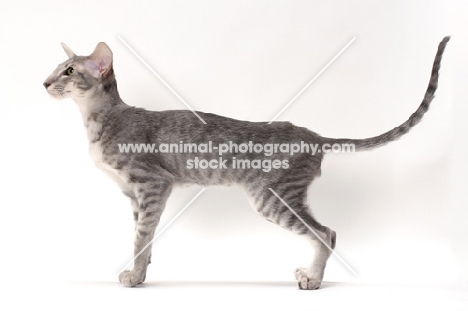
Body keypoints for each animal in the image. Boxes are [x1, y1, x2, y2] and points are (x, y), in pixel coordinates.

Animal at [43, 36, 450, 290]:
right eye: (57, 67)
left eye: (69, 71)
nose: (44, 82)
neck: (99, 120)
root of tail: (313, 135)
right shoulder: (134, 195)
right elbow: (145, 237)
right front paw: (141, 273)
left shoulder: (152, 184)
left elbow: (140, 237)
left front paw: (134, 275)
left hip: (272, 198)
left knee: (326, 233)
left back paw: (313, 279)